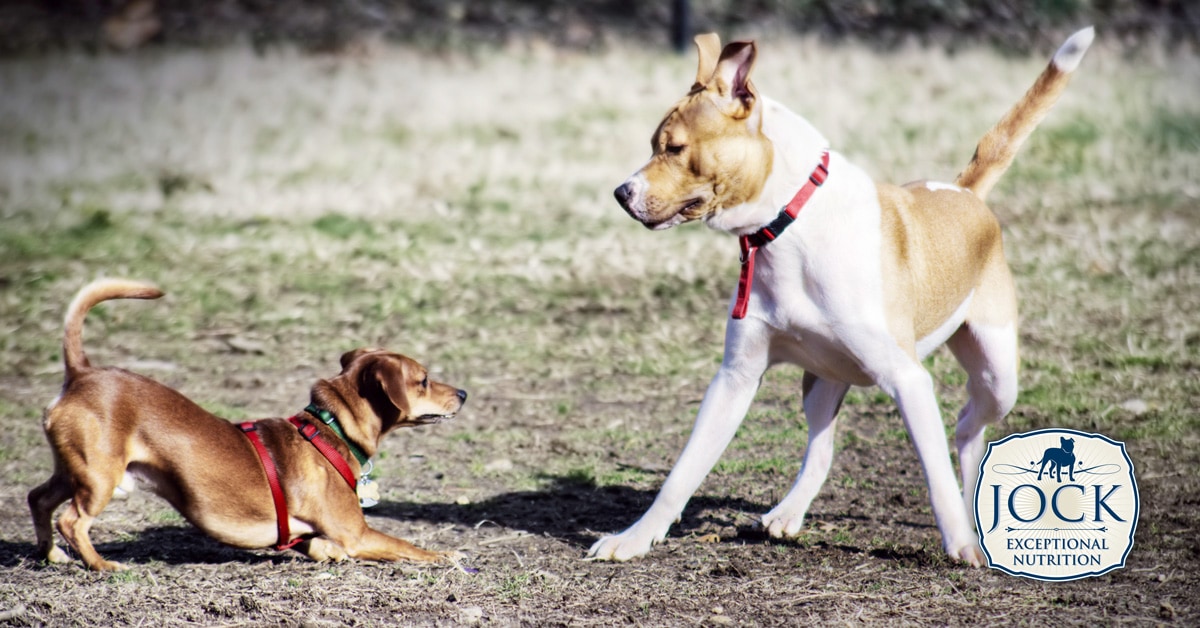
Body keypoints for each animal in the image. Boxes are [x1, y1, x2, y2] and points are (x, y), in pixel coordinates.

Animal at [28, 277, 468, 571]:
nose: (463, 393)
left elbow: (315, 545)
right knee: (72, 520)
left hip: (73, 470)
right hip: (99, 478)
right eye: (424, 379)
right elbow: (408, 545)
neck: (331, 429)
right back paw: (101, 565)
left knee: (39, 499)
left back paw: (52, 555)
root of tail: (81, 373)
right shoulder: (358, 533)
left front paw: (326, 553)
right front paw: (446, 553)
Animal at [590, 28, 1099, 564]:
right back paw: (788, 513)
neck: (788, 225)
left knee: (965, 427)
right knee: (824, 446)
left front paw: (960, 544)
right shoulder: (735, 378)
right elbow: (683, 472)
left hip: (998, 374)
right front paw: (633, 538)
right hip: (823, 381)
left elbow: (936, 478)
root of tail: (965, 193)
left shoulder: (908, 380)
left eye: (674, 147)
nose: (621, 193)